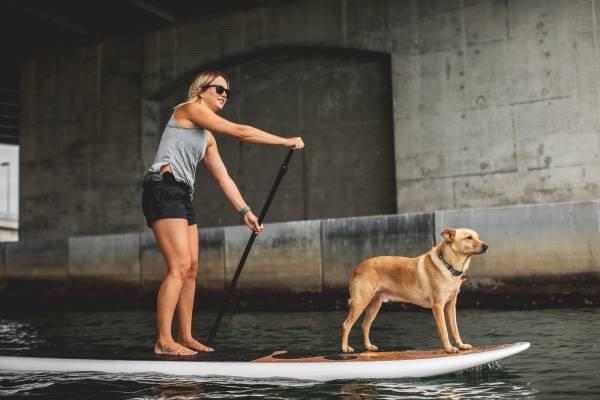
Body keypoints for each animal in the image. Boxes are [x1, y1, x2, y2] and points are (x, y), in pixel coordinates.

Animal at [342, 228, 488, 354]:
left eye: (477, 237)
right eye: (469, 237)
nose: (486, 246)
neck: (448, 265)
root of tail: (358, 267)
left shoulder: (451, 305)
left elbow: (455, 328)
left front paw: (461, 345)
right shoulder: (438, 306)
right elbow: (444, 331)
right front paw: (449, 348)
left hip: (375, 304)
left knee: (365, 326)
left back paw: (368, 346)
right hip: (360, 302)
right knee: (346, 324)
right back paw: (345, 348)